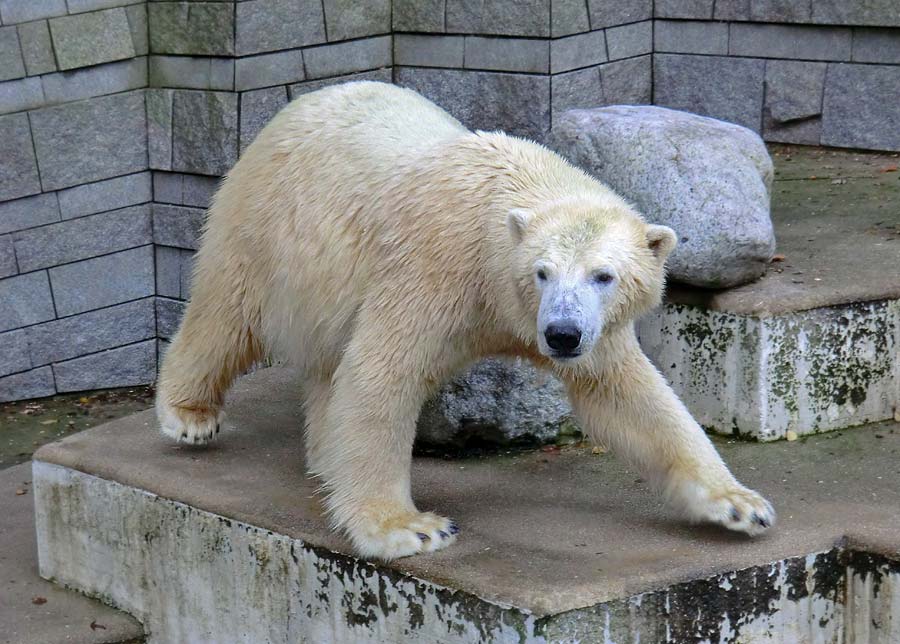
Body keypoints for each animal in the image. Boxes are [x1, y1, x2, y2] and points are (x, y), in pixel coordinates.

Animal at [156, 83, 772, 560]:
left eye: (604, 276)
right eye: (543, 272)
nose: (561, 335)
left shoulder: (592, 329)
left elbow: (628, 396)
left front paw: (741, 505)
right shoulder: (434, 267)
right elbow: (383, 372)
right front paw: (409, 528)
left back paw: (326, 458)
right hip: (267, 223)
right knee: (227, 313)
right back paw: (190, 415)